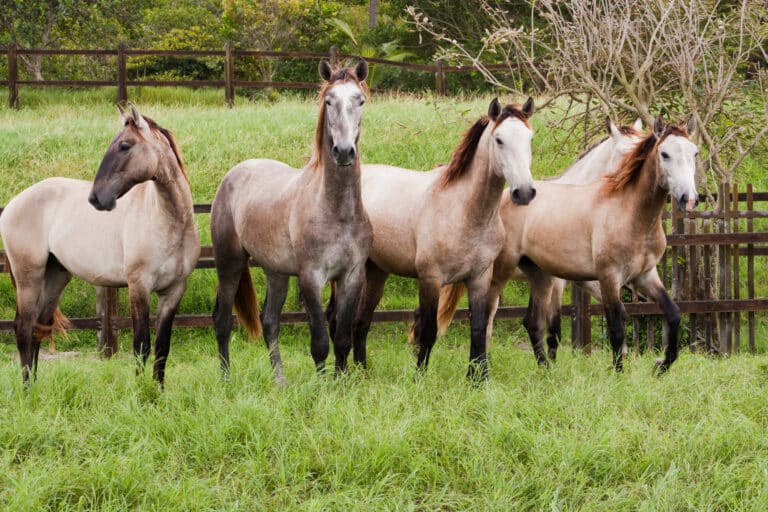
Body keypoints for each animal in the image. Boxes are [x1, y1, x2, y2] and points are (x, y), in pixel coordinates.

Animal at [0, 105, 198, 384]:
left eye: (125, 145)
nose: (95, 198)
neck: (169, 222)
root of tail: (12, 205)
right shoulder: (139, 286)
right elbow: (141, 345)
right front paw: (141, 392)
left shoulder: (174, 290)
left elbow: (162, 348)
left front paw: (158, 390)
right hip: (29, 277)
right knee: (23, 328)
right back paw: (27, 388)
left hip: (55, 276)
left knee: (38, 328)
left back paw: (35, 386)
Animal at [210, 59, 372, 384]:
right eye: (329, 100)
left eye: (359, 100)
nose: (344, 151)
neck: (338, 212)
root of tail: (233, 175)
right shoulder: (311, 277)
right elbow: (320, 341)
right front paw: (322, 386)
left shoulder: (351, 277)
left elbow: (342, 339)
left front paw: (341, 382)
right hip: (229, 262)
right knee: (222, 320)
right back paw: (226, 379)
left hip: (276, 272)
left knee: (270, 322)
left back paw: (280, 382)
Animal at [328, 97, 536, 380]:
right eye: (499, 140)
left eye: (530, 138)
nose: (524, 192)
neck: (464, 210)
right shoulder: (431, 278)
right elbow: (428, 330)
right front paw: (419, 377)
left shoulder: (480, 277)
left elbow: (479, 328)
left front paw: (478, 380)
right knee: (337, 319)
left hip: (376, 272)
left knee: (361, 322)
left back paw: (364, 372)